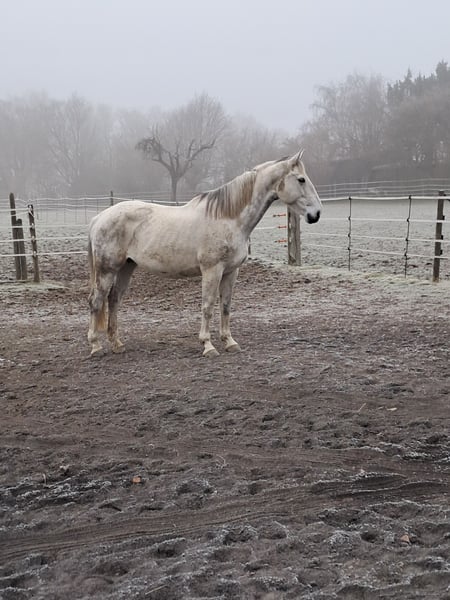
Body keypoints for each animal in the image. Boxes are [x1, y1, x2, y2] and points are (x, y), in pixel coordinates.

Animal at [87, 150, 322, 357]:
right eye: (301, 179)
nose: (316, 214)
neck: (229, 218)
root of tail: (99, 218)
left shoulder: (231, 272)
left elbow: (225, 306)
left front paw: (230, 342)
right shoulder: (212, 270)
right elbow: (208, 306)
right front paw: (208, 346)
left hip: (126, 267)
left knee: (114, 300)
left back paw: (117, 344)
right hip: (107, 270)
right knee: (97, 301)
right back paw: (96, 346)